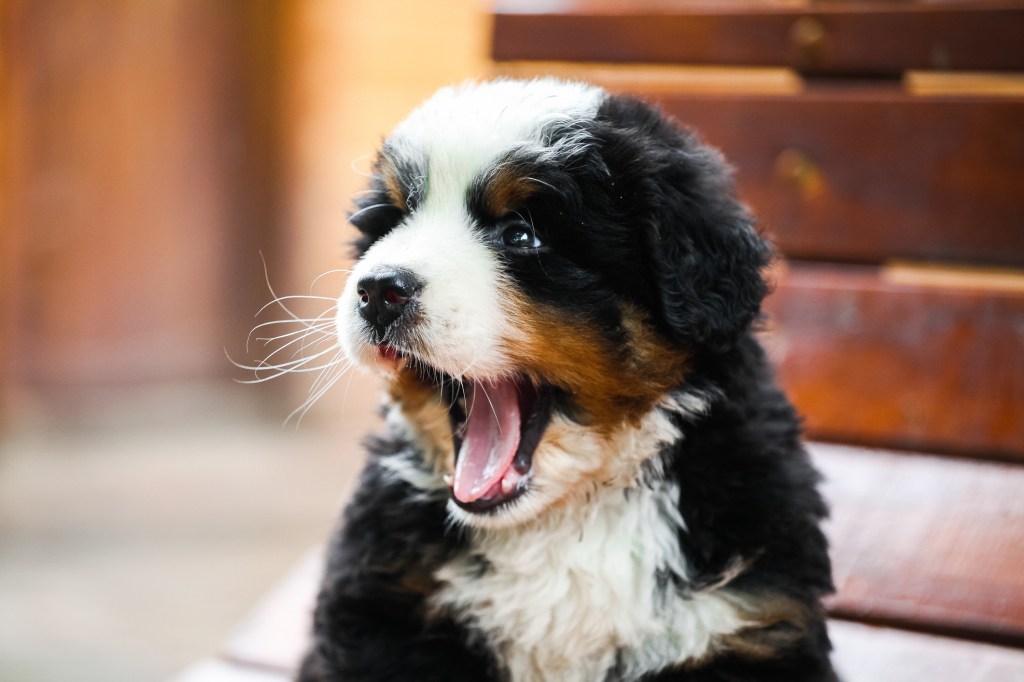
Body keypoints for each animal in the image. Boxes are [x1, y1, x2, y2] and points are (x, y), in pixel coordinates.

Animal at [299, 78, 839, 679]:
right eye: (392, 221)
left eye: (521, 235)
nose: (378, 290)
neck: (565, 517)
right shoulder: (385, 608)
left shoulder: (750, 619)